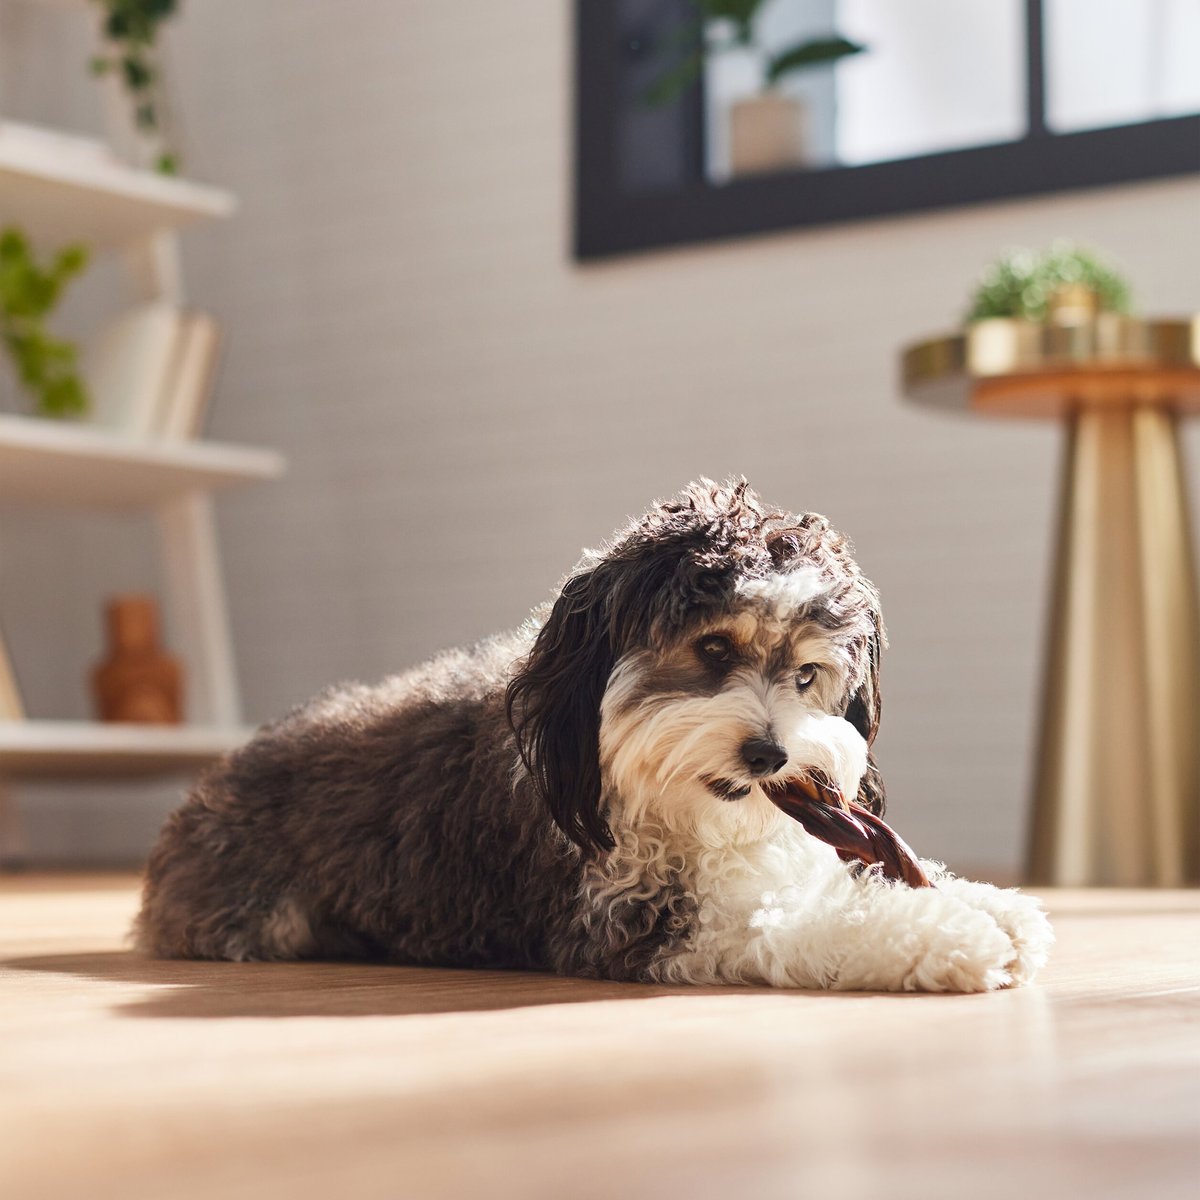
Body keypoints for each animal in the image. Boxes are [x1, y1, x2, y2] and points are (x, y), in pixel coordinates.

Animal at [138, 477, 1051, 993]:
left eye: (805, 676)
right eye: (712, 649)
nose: (769, 755)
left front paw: (990, 904)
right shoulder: (627, 918)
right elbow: (793, 927)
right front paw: (949, 938)